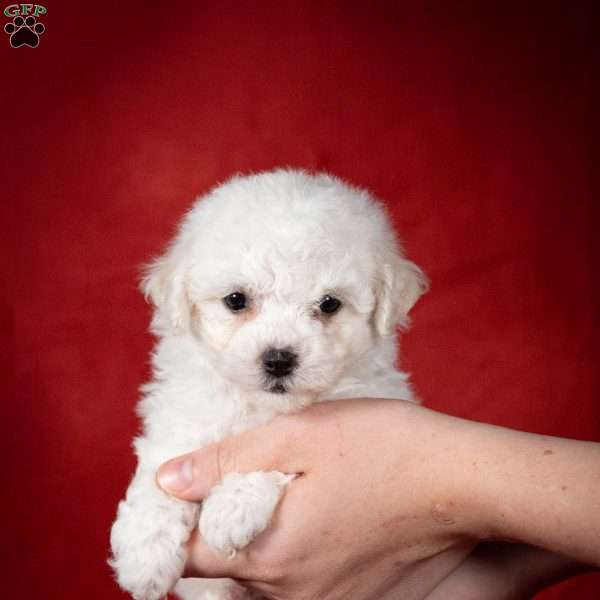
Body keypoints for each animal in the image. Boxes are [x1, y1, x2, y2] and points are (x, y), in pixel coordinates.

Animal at [108, 169, 426, 600]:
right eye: (236, 300)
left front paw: (231, 509)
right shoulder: (182, 415)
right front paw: (143, 553)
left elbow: (269, 455)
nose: (278, 359)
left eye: (329, 304)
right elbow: (161, 472)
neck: (262, 404)